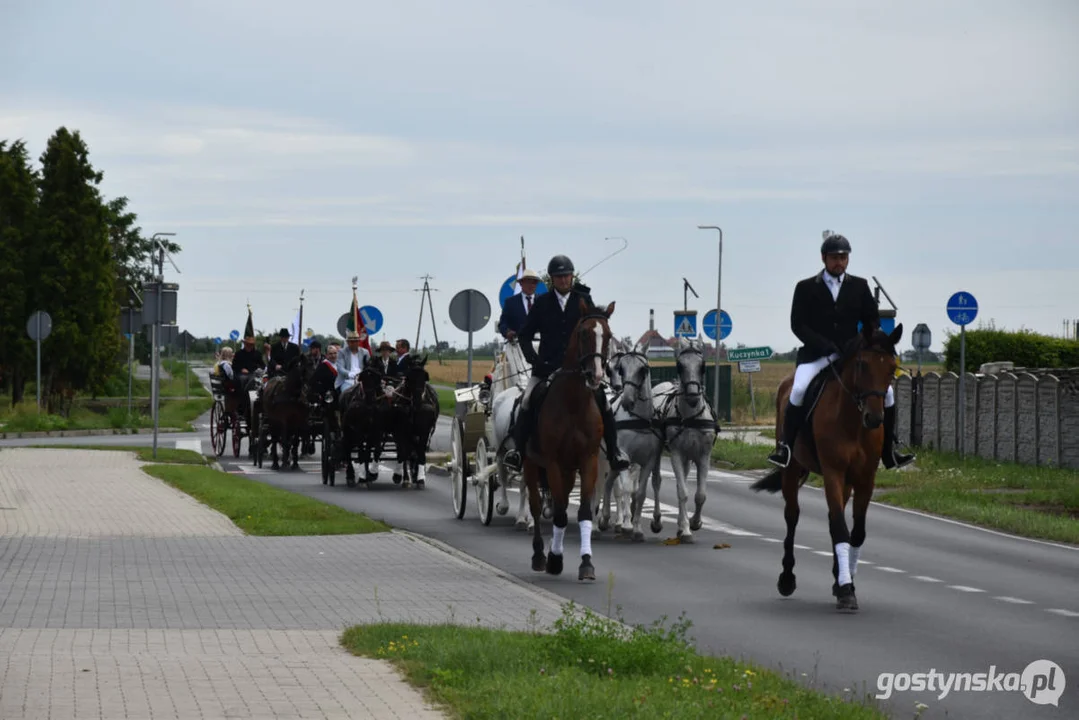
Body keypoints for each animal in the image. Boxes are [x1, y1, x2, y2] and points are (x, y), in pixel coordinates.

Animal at [388, 354, 438, 490]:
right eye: (409, 377)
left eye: (425, 376)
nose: (417, 402)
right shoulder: (401, 431)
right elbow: (404, 452)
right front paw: (404, 478)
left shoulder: (424, 431)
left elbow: (420, 452)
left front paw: (420, 479)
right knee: (404, 451)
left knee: (414, 451)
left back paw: (415, 475)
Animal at [522, 295, 617, 582]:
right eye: (584, 333)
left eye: (608, 336)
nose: (596, 376)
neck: (574, 402)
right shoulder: (552, 462)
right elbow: (560, 513)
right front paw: (554, 560)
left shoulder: (588, 460)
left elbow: (583, 511)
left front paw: (586, 563)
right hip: (532, 465)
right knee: (536, 505)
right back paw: (540, 555)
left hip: (568, 468)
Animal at [643, 341, 720, 544]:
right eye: (679, 365)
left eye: (702, 366)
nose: (693, 395)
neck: (691, 416)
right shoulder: (676, 453)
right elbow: (682, 492)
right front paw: (685, 530)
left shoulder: (704, 456)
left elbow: (700, 495)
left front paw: (694, 522)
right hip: (659, 452)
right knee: (657, 482)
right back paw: (657, 521)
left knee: (682, 480)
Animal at [750, 323, 902, 613]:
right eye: (862, 365)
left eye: (891, 368)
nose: (874, 419)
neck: (853, 421)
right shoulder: (833, 473)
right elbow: (840, 528)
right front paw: (845, 590)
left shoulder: (865, 479)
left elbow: (855, 533)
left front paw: (847, 582)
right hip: (791, 471)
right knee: (793, 516)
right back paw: (787, 578)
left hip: (848, 482)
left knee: (835, 518)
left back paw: (836, 576)